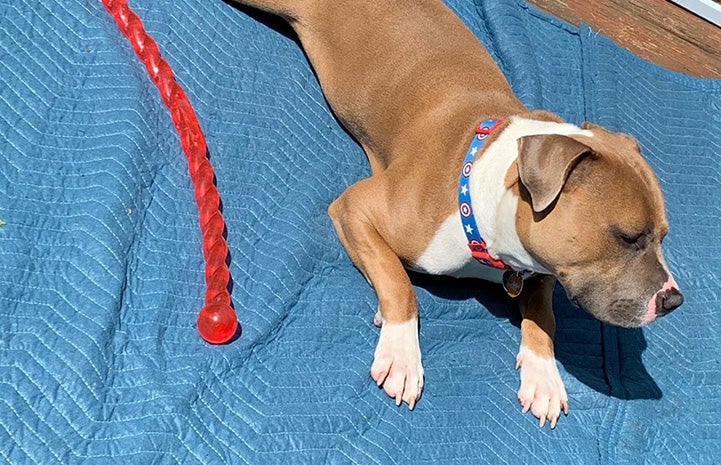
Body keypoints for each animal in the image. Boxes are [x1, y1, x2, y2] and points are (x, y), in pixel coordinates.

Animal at [233, 0, 684, 428]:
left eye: (663, 235)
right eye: (627, 237)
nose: (674, 300)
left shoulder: (543, 270)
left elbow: (545, 316)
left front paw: (543, 375)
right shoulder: (354, 207)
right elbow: (400, 283)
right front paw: (402, 352)